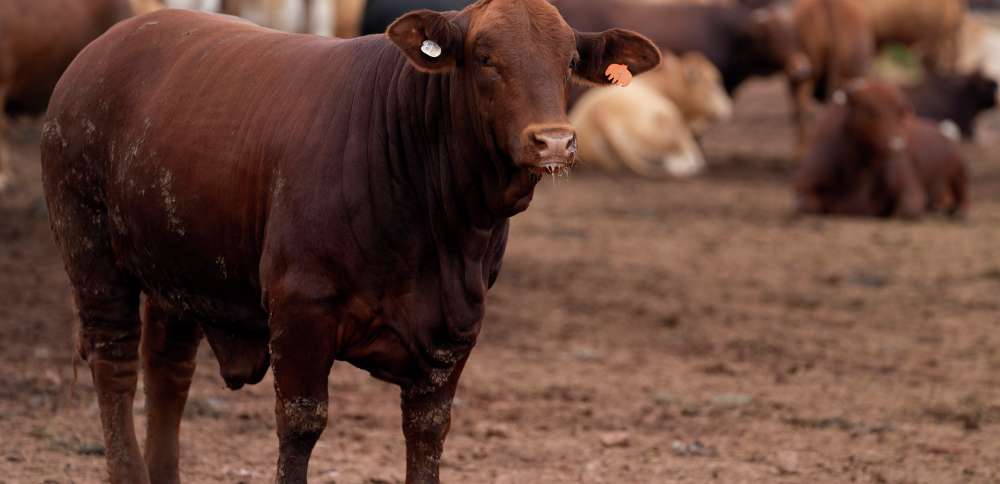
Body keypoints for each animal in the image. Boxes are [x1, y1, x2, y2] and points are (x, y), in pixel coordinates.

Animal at [41, 2, 660, 483]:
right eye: (485, 58)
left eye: (571, 62)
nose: (554, 141)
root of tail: (102, 48)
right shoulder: (300, 309)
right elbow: (301, 423)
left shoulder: (456, 329)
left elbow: (427, 434)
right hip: (90, 250)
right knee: (115, 362)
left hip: (178, 268)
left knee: (168, 370)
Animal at [795, 80, 968, 219]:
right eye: (869, 109)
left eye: (900, 112)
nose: (896, 146)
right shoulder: (805, 186)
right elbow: (809, 205)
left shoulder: (910, 188)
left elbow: (907, 209)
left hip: (959, 173)